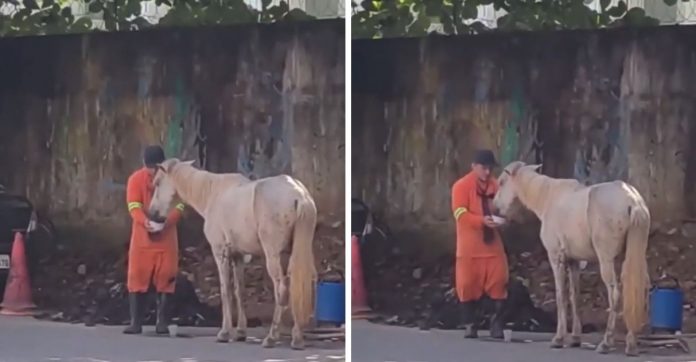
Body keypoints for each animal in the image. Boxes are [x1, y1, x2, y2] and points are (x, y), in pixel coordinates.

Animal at [150, 159, 318, 350]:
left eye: (157, 182)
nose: (153, 214)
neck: (212, 193)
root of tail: (299, 195)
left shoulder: (220, 252)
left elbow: (226, 292)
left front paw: (224, 333)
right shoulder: (238, 256)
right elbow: (240, 292)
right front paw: (240, 332)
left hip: (273, 255)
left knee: (281, 290)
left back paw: (271, 337)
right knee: (302, 285)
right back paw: (297, 337)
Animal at [492, 161, 648, 356]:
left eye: (501, 182)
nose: (494, 206)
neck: (548, 197)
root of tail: (632, 200)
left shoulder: (556, 258)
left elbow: (561, 296)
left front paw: (559, 339)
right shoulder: (574, 262)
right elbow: (575, 297)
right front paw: (575, 338)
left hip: (607, 260)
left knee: (615, 294)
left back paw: (606, 343)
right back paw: (631, 343)